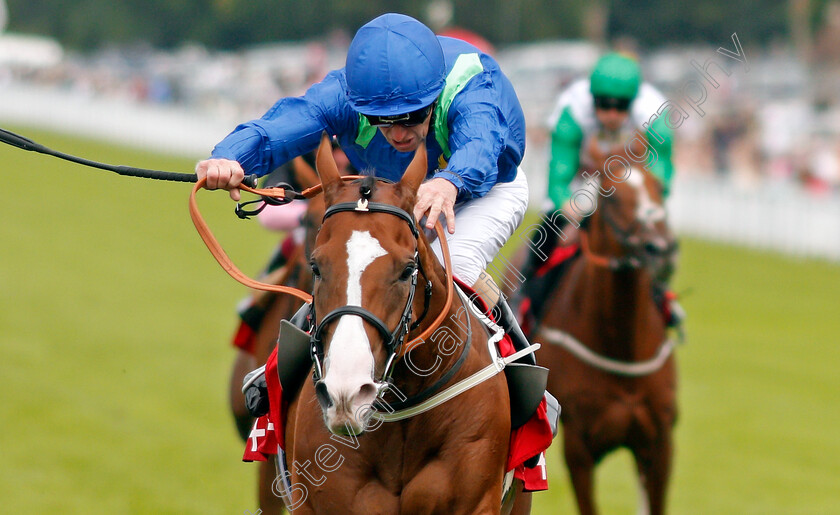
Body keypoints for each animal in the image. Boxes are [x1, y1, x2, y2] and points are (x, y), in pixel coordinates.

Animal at [524, 165, 676, 515]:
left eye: (659, 187)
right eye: (613, 196)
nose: (661, 250)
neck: (622, 345)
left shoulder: (659, 443)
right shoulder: (579, 447)